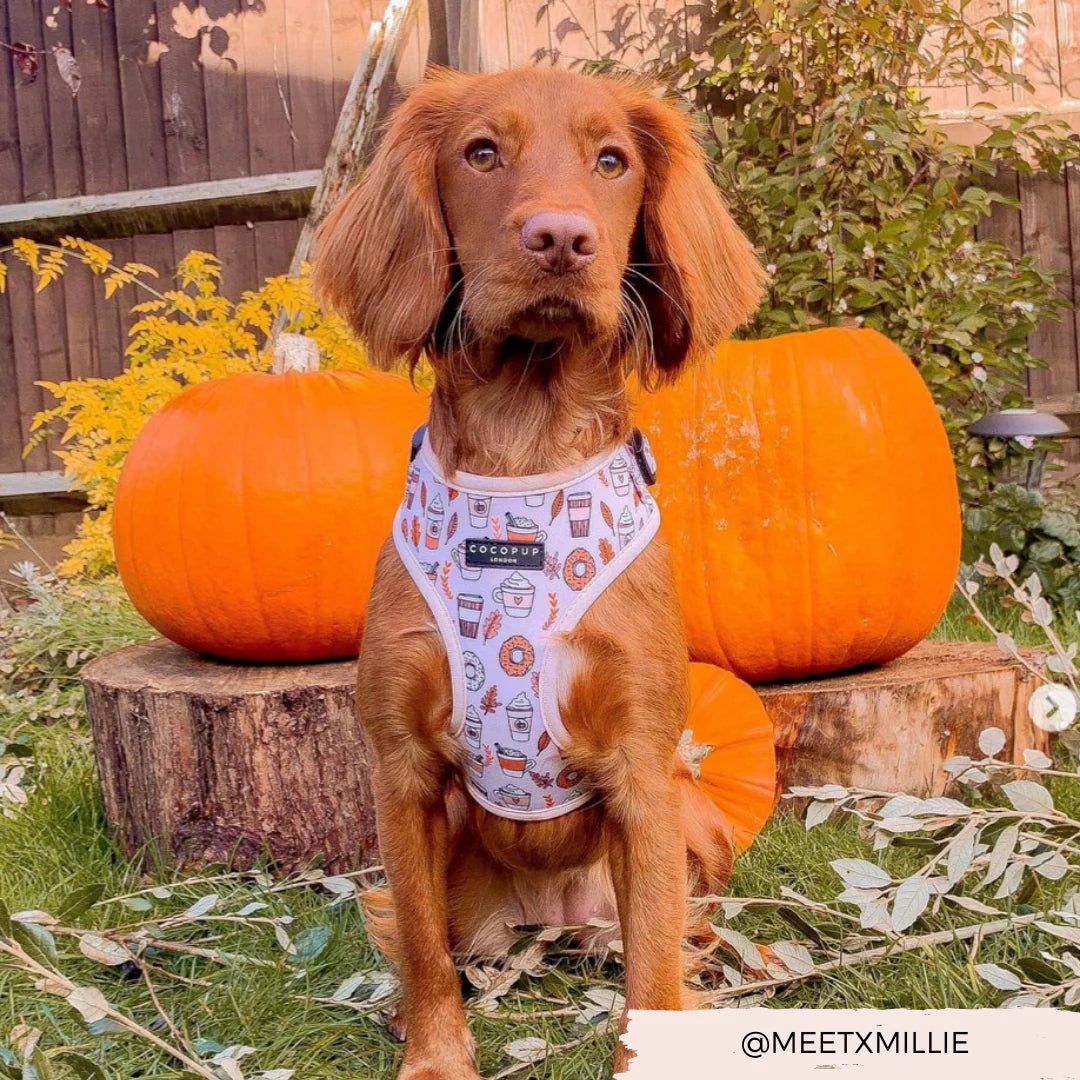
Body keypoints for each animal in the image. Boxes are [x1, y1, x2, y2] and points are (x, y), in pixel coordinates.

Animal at [315, 67, 764, 1080]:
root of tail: (553, 918)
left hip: (694, 819)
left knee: (677, 935)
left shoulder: (643, 770)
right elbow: (425, 952)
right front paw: (435, 1058)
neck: (524, 453)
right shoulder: (401, 770)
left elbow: (652, 977)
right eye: (482, 153)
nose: (561, 238)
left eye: (613, 161)